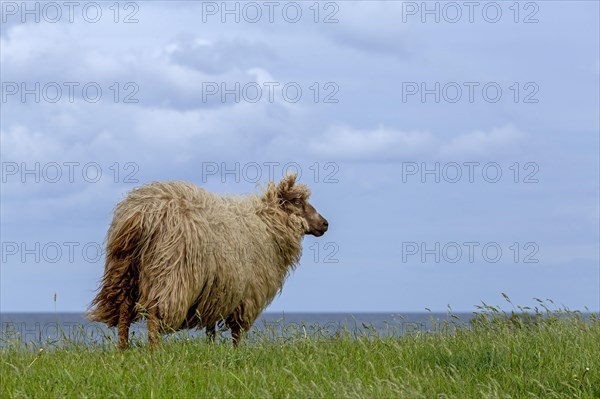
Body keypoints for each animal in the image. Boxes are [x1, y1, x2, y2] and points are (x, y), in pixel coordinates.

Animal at [86, 175, 328, 350]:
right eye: (297, 202)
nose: (325, 223)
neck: (266, 224)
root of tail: (142, 213)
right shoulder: (247, 294)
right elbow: (237, 332)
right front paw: (236, 354)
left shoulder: (217, 289)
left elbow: (210, 327)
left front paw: (212, 351)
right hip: (170, 272)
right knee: (155, 315)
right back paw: (155, 354)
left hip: (124, 270)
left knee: (124, 311)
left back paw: (123, 351)